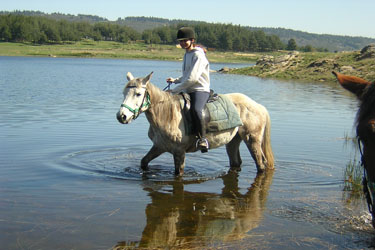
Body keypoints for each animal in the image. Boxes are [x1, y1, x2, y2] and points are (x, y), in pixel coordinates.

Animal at [116, 71, 274, 176]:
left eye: (138, 94)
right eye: (124, 93)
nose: (121, 116)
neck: (166, 114)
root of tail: (258, 106)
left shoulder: (179, 152)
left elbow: (178, 174)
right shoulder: (159, 146)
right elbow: (144, 162)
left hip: (252, 140)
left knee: (261, 164)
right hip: (233, 140)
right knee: (236, 162)